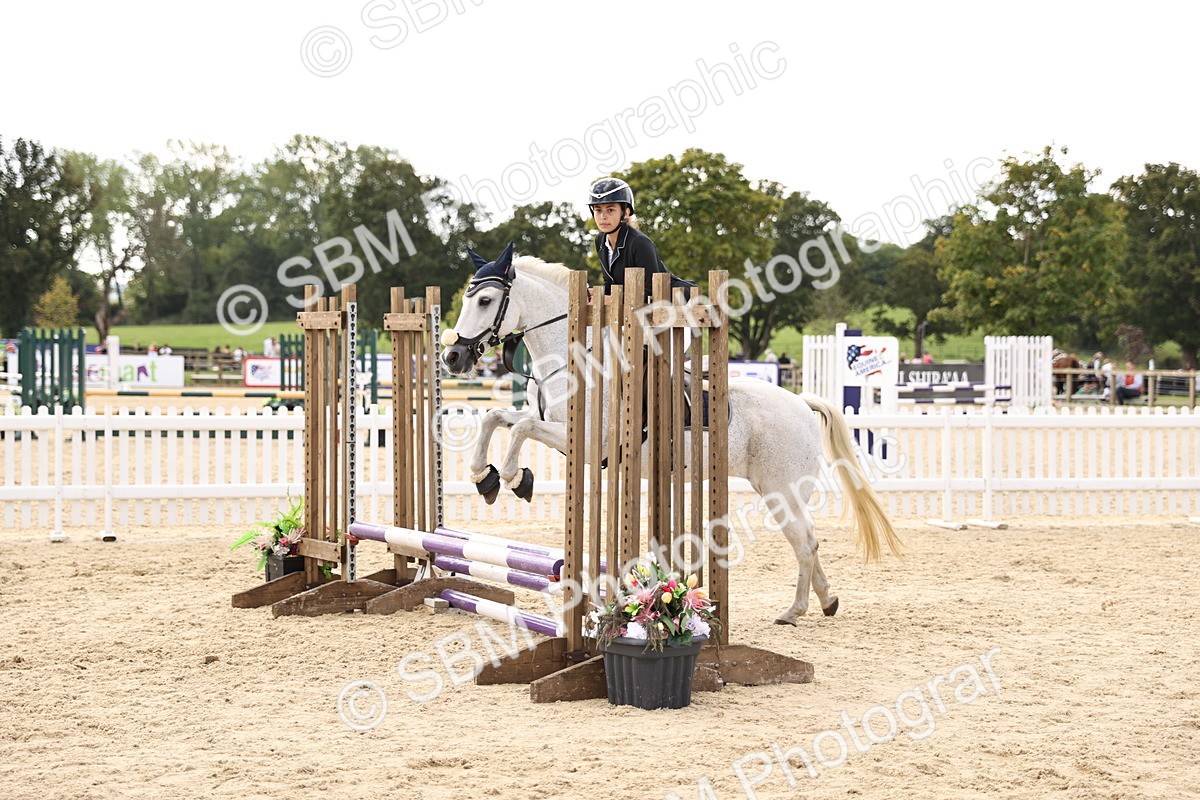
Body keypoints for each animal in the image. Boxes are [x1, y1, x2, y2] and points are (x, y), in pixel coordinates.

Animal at [440, 246, 903, 624]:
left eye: (485, 300)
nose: (453, 356)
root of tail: (803, 404)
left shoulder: (590, 444)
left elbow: (519, 427)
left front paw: (516, 478)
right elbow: (495, 417)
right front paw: (484, 477)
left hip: (781, 488)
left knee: (805, 542)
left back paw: (795, 611)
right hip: (774, 488)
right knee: (809, 541)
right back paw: (826, 602)